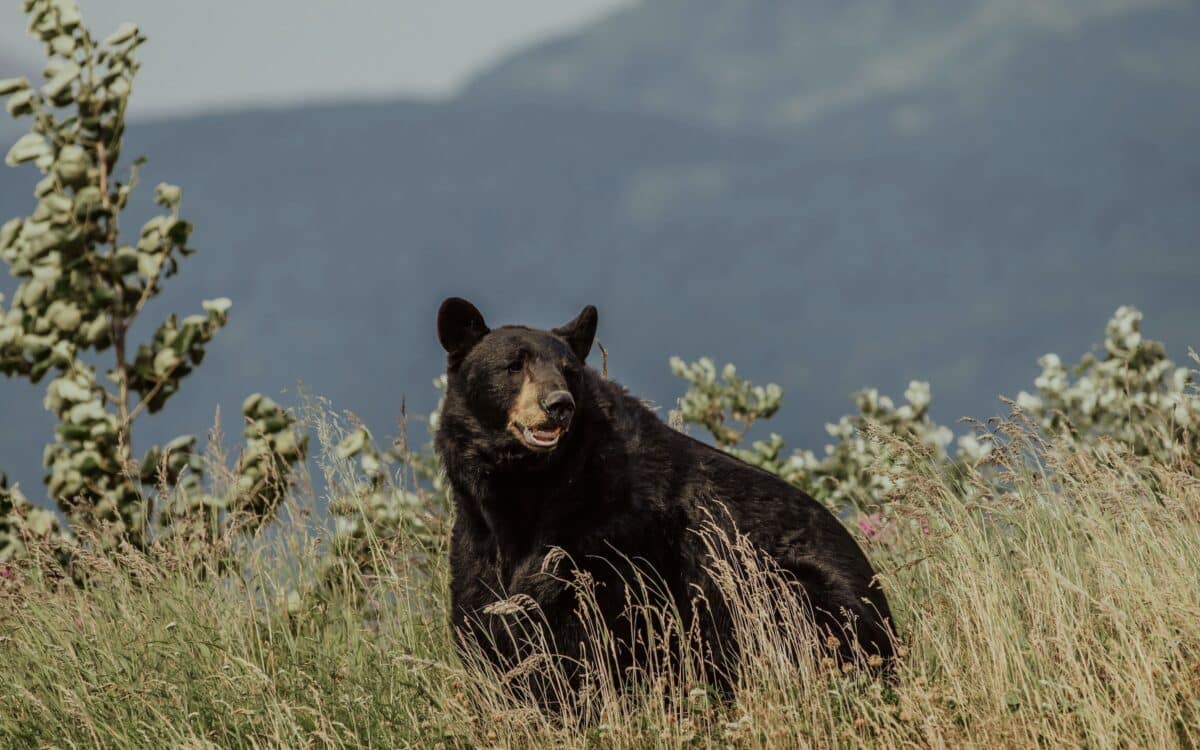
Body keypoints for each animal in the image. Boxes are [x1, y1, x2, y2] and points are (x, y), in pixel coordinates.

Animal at [435, 297, 894, 708]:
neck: (527, 488)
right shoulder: (477, 535)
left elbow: (586, 627)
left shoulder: (609, 535)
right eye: (514, 366)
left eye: (569, 372)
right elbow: (483, 615)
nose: (558, 404)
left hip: (789, 590)